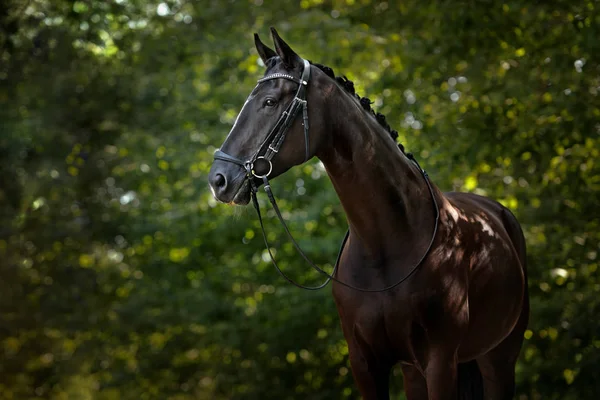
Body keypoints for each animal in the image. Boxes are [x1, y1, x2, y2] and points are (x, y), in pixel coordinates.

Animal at [209, 28, 528, 400]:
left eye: (271, 102)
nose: (218, 180)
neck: (386, 245)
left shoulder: (440, 362)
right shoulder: (365, 364)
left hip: (499, 358)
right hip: (414, 370)